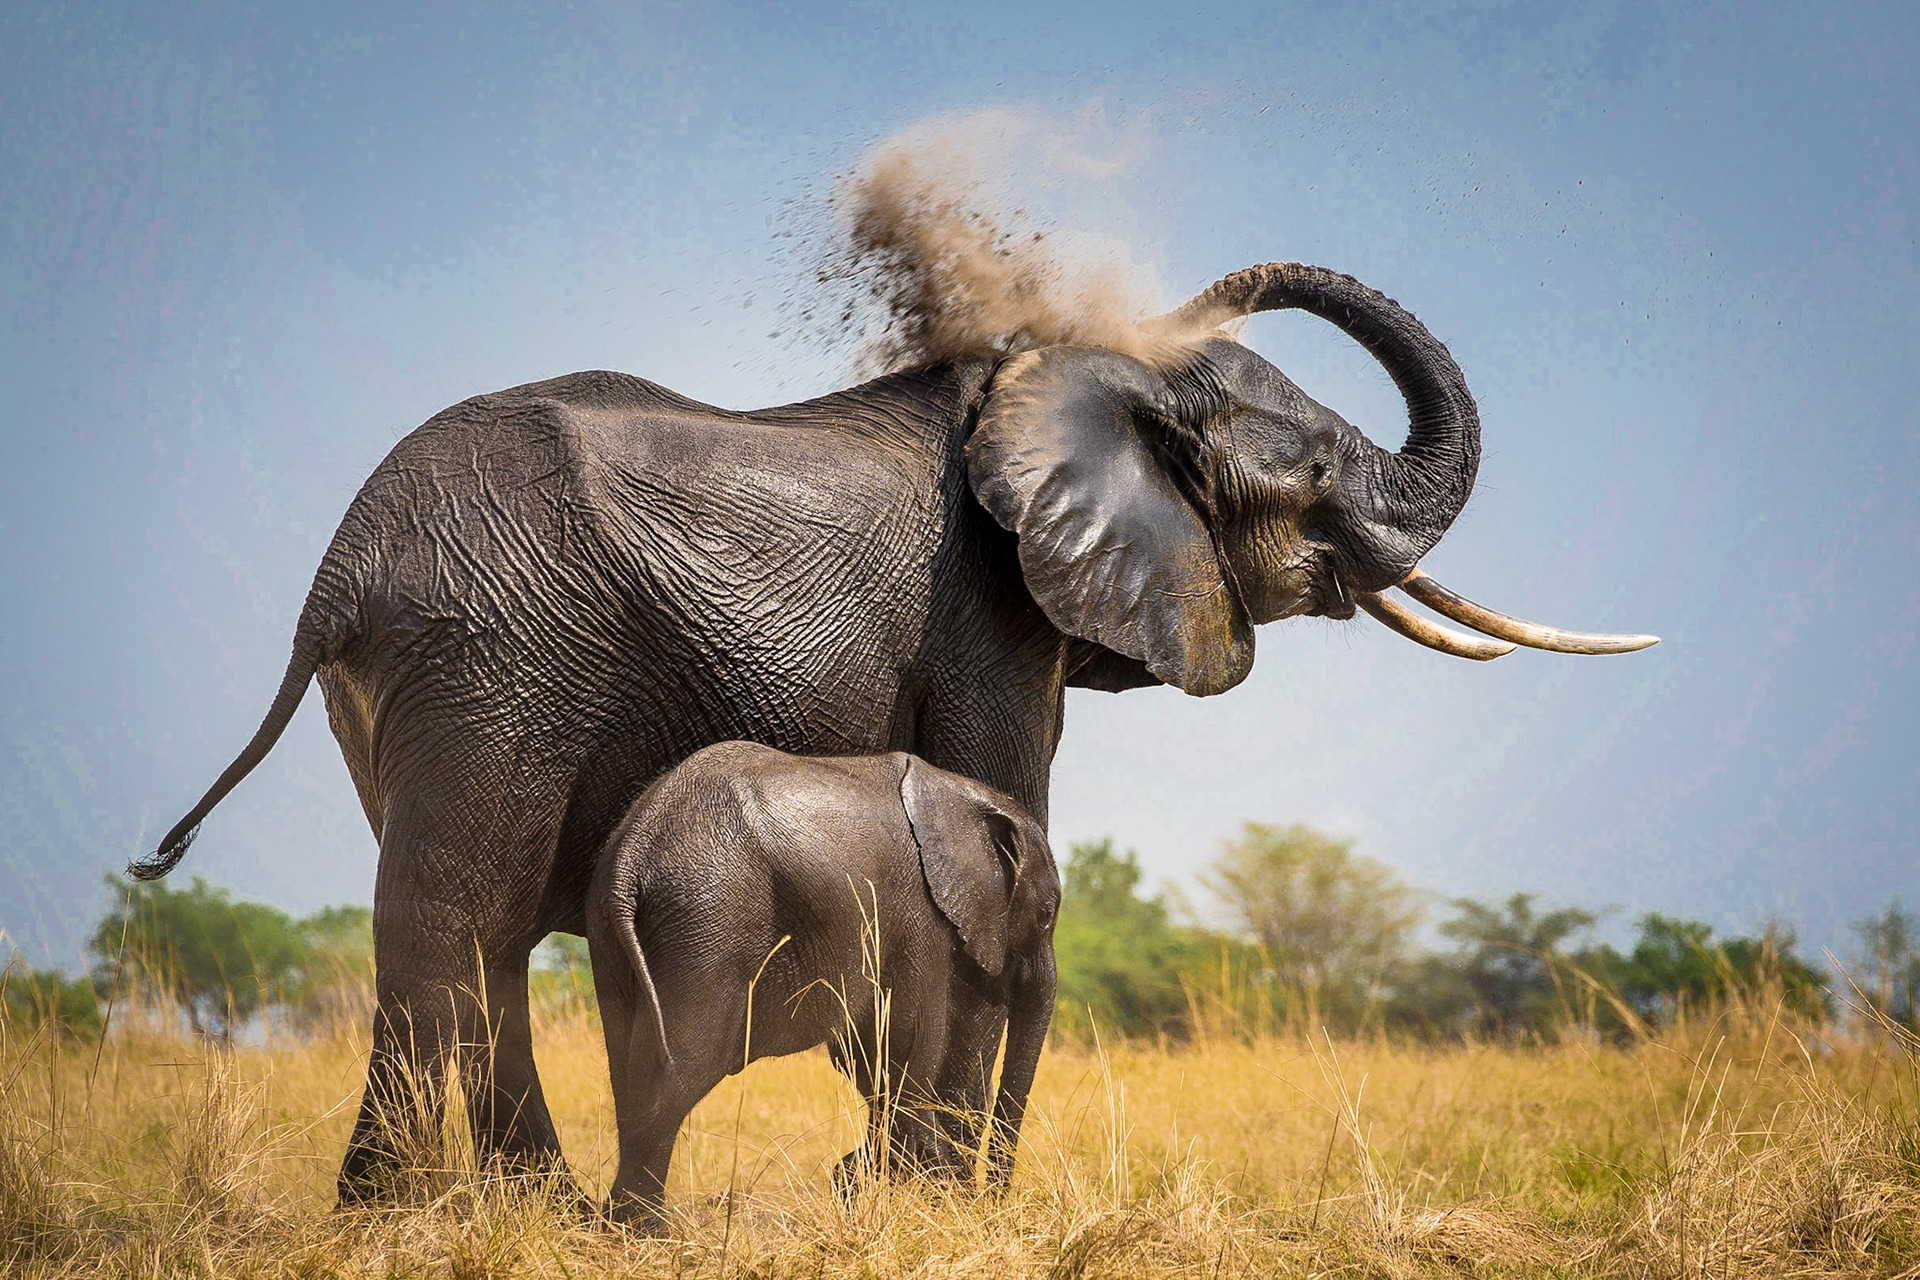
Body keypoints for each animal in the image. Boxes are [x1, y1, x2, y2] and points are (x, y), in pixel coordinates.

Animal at [585, 740, 1059, 1229]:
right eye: (1047, 914)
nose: (994, 1202)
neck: (956, 793)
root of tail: (630, 857)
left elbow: (870, 1060)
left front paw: (858, 1179)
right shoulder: (917, 916)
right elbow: (905, 1048)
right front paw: (914, 1178)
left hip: (611, 929)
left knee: (628, 1070)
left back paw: (619, 1226)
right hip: (707, 922)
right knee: (674, 1075)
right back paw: (648, 1232)